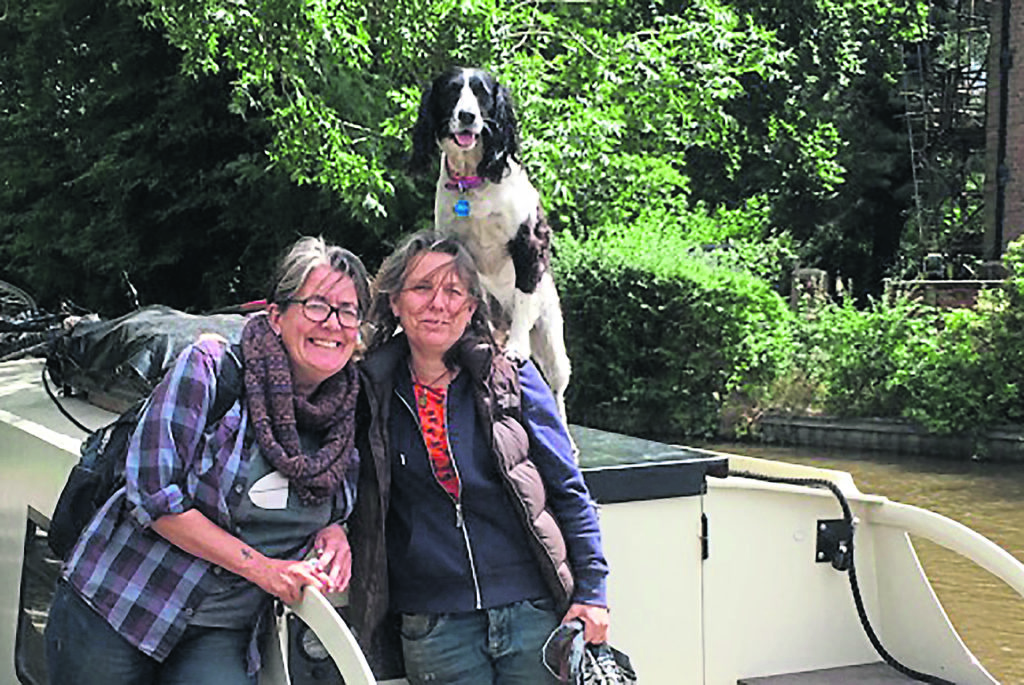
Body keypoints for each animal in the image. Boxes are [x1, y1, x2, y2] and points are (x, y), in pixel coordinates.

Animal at [407, 68, 573, 421]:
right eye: (452, 90)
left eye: (481, 92)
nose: (467, 117)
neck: (474, 181)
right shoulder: (457, 247)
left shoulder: (528, 247)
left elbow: (523, 299)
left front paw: (515, 349)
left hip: (551, 339)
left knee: (557, 392)